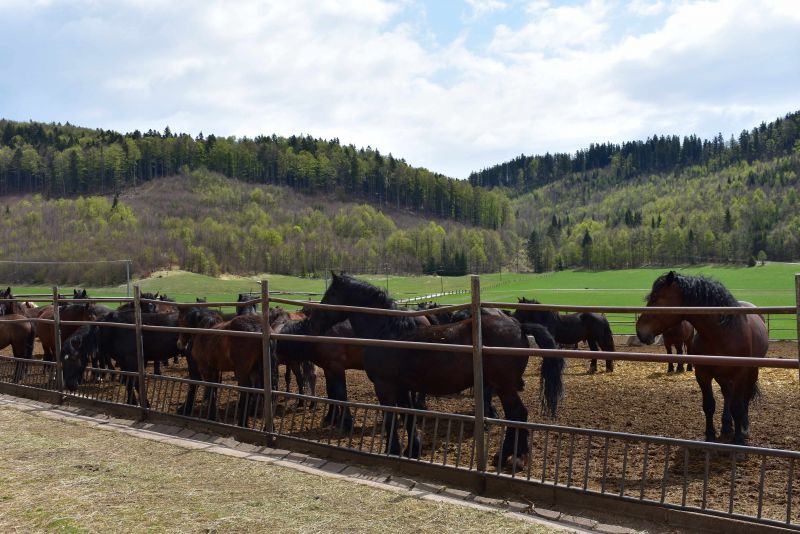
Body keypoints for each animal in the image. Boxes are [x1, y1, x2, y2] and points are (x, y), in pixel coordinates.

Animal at [306, 274, 564, 472]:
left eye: (329, 296)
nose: (312, 324)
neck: (387, 332)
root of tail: (519, 326)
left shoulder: (385, 386)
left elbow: (391, 416)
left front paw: (393, 450)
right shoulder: (402, 387)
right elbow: (408, 415)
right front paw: (412, 449)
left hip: (504, 387)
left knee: (517, 414)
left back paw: (511, 457)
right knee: (516, 416)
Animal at [636, 274, 768, 446]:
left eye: (655, 298)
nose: (639, 331)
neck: (722, 334)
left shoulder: (740, 374)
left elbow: (738, 407)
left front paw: (738, 439)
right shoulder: (703, 374)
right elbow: (709, 405)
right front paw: (710, 435)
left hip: (751, 372)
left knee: (744, 398)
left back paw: (743, 428)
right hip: (721, 375)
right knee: (727, 394)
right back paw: (726, 426)